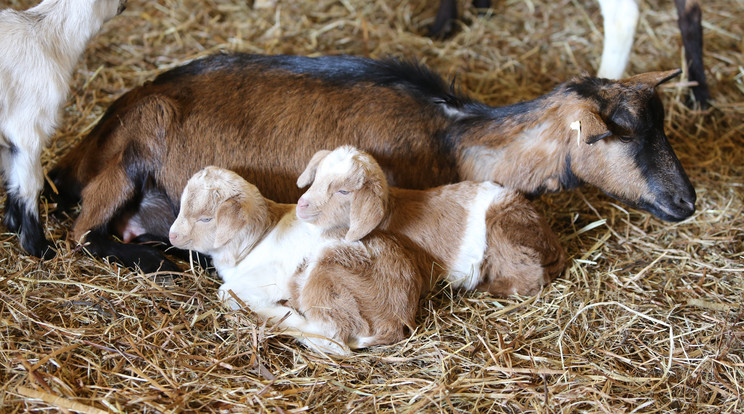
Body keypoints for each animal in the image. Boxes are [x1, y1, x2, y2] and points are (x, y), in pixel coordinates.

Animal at [0, 0, 126, 258]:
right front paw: (39, 246)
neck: (46, 35)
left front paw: (13, 224)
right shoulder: (27, 129)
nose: (123, 5)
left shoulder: (10, 139)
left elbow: (12, 181)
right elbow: (30, 185)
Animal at [49, 53, 696, 274]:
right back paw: (162, 260)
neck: (454, 134)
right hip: (131, 150)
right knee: (83, 236)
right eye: (617, 136)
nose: (686, 201)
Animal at [168, 167, 424, 354]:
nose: (172, 236)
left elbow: (225, 293)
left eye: (206, 218)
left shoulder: (262, 281)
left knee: (333, 341)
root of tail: (394, 320)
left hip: (325, 277)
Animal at [296, 147, 564, 296]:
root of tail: (552, 243)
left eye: (344, 191)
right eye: (316, 177)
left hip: (507, 238)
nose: (301, 205)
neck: (391, 212)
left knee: (529, 280)